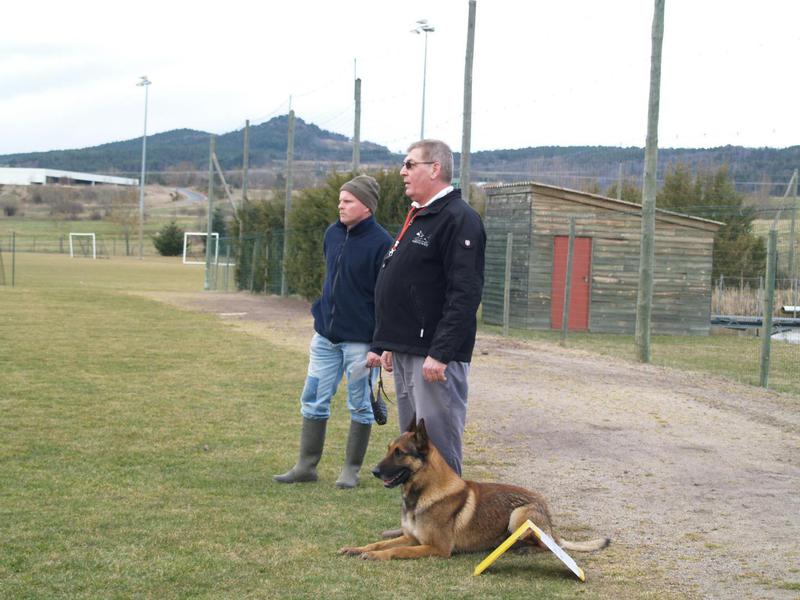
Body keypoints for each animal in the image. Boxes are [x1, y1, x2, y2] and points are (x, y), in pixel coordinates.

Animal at [339, 418, 610, 561]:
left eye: (399, 453)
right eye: (388, 449)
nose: (374, 471)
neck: (423, 493)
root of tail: (550, 520)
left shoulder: (436, 548)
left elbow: (397, 549)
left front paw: (377, 556)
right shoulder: (412, 536)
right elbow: (378, 543)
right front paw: (357, 548)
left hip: (518, 516)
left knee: (545, 545)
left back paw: (520, 547)